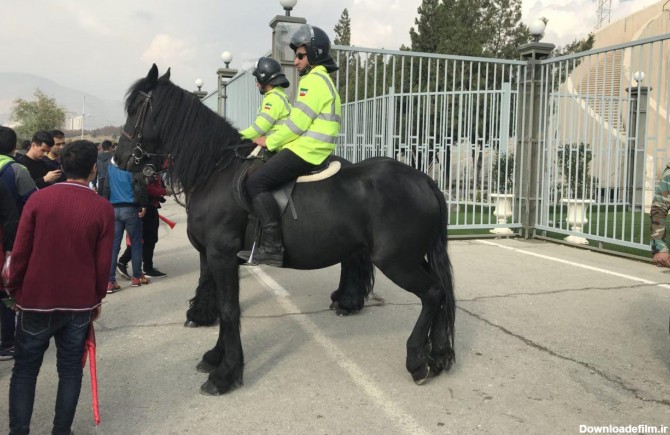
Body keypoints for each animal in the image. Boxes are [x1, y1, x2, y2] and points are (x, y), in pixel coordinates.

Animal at [118, 64, 460, 396]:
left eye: (135, 108)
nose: (120, 160)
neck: (215, 170)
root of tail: (423, 179)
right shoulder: (210, 257)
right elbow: (215, 298)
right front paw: (214, 356)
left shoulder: (222, 256)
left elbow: (229, 310)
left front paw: (225, 374)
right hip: (411, 257)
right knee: (442, 291)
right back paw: (439, 354)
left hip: (396, 261)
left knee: (432, 293)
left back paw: (417, 359)